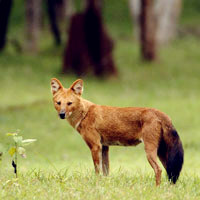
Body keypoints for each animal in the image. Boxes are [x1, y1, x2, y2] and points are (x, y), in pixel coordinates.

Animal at [50, 78, 184, 186]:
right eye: (58, 103)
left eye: (69, 103)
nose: (62, 114)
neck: (85, 113)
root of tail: (160, 113)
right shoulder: (104, 147)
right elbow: (106, 171)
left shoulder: (95, 146)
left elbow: (97, 170)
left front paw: (96, 184)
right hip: (162, 152)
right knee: (171, 172)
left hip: (150, 150)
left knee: (159, 169)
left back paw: (156, 188)